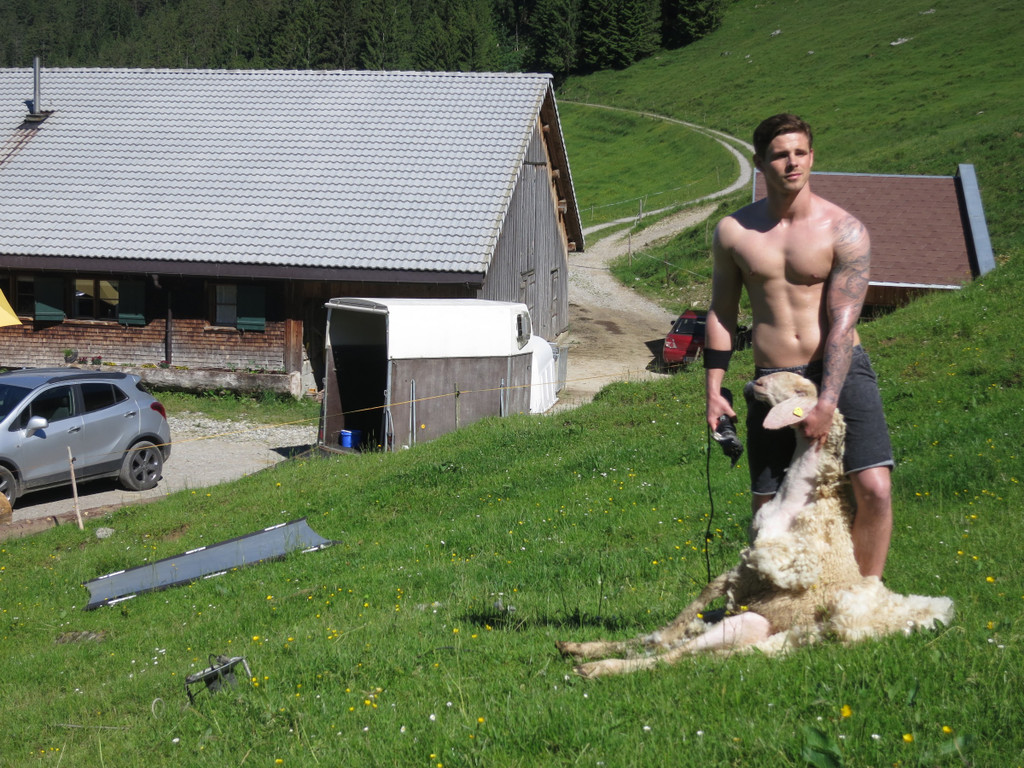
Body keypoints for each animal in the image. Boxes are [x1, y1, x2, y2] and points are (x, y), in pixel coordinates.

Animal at [556, 370, 954, 678]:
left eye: (801, 390)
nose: (755, 382)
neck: (805, 492)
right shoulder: (747, 558)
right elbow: (691, 605)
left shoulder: (757, 562)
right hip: (726, 616)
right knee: (660, 640)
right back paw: (579, 647)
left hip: (747, 624)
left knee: (674, 657)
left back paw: (599, 668)